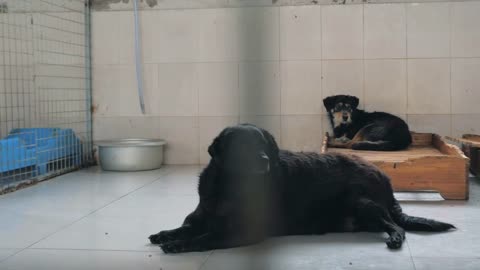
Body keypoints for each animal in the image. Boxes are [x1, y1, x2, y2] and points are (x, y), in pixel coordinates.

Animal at [149, 124, 454, 253]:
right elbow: (187, 225)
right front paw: (165, 234)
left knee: (396, 226)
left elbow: (205, 237)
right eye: (242, 145)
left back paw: (394, 239)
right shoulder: (203, 215)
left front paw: (178, 244)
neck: (227, 187)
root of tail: (385, 177)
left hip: (363, 202)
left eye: (263, 144)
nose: (263, 159)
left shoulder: (241, 230)